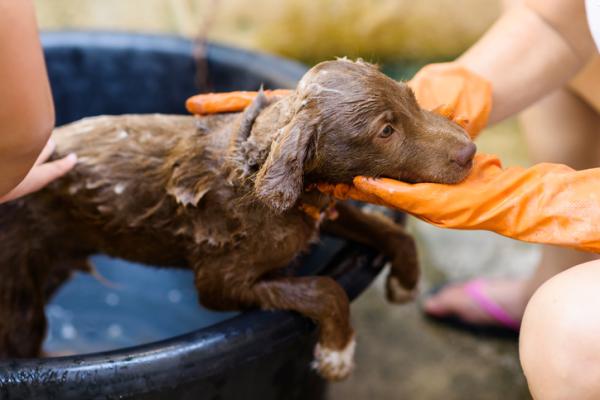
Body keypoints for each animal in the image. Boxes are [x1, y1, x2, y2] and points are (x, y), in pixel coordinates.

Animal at [0, 58, 474, 378]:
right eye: (386, 131)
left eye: (412, 97)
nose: (469, 150)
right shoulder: (220, 282)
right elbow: (325, 288)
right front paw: (337, 352)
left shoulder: (314, 213)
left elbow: (387, 230)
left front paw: (406, 282)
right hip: (18, 299)